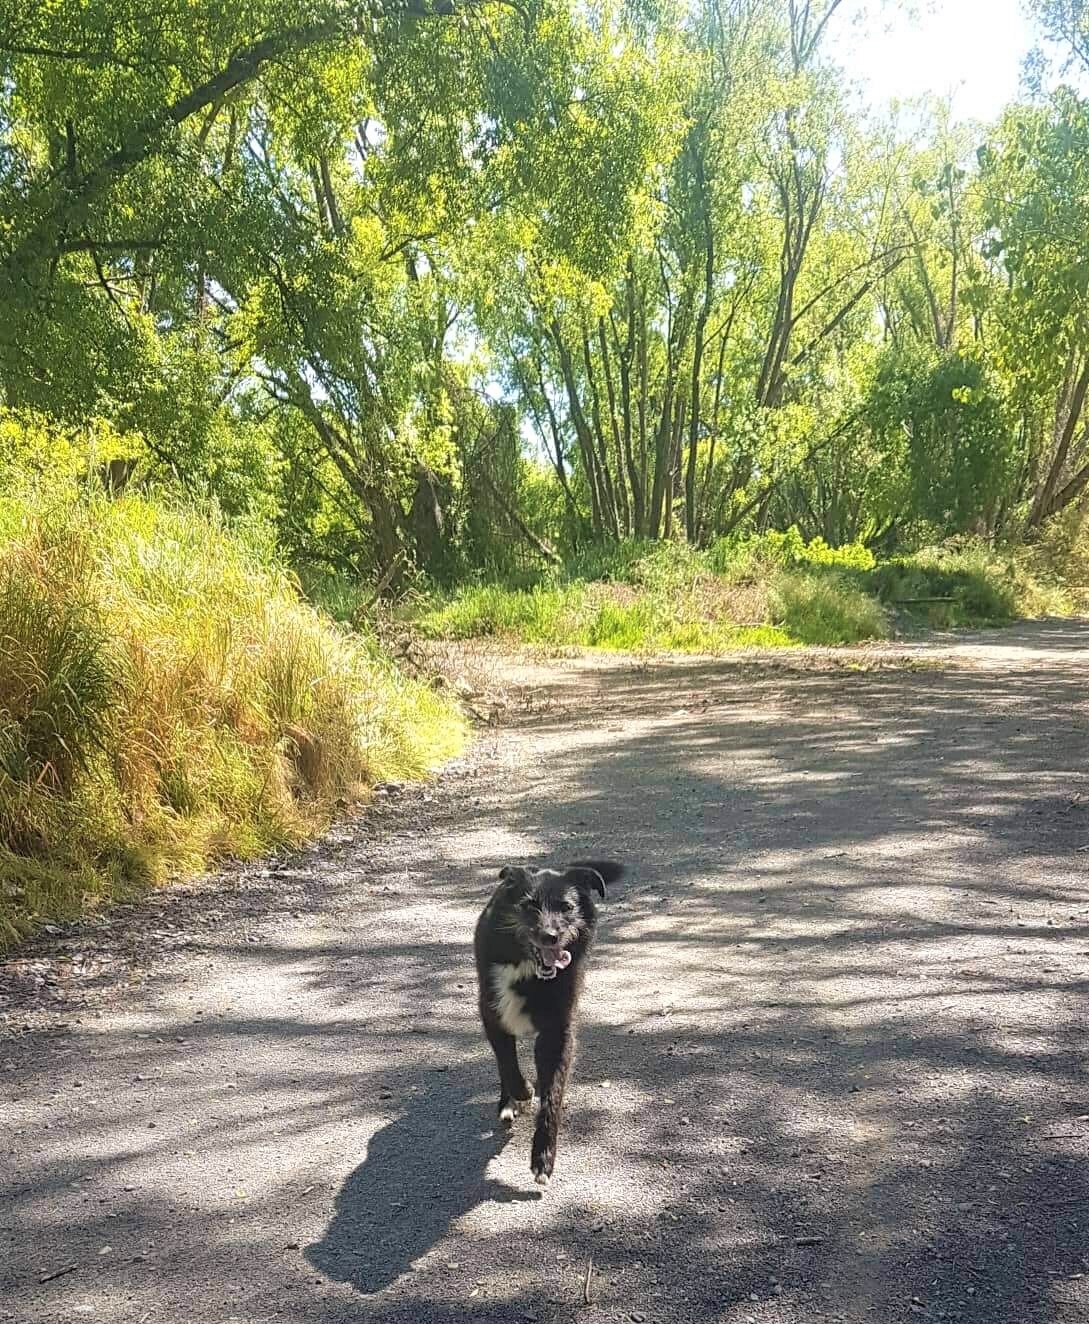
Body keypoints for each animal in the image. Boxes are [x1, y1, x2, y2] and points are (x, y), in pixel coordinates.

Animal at [473, 863, 627, 1186]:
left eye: (567, 907)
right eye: (530, 905)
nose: (550, 936)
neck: (529, 973)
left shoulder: (558, 1033)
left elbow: (553, 1094)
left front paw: (544, 1156)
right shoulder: (493, 1016)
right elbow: (508, 1064)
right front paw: (522, 1093)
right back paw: (508, 1102)